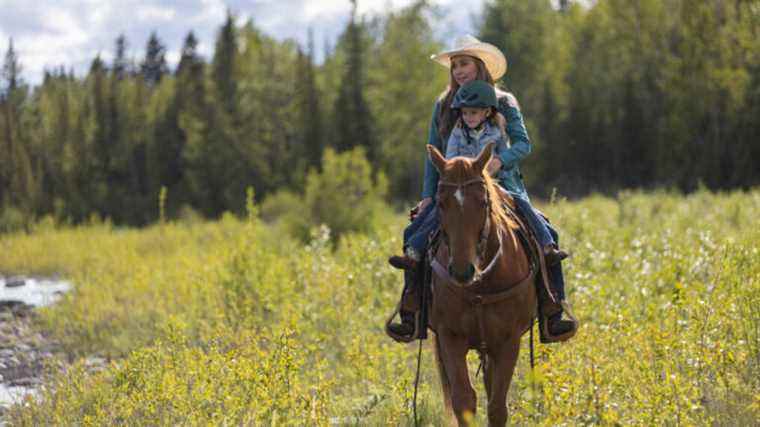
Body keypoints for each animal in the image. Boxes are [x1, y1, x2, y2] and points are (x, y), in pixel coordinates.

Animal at [428, 144, 536, 427]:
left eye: (483, 201)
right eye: (441, 203)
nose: (462, 270)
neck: (480, 284)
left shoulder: (508, 341)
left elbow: (497, 406)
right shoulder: (450, 336)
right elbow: (464, 401)